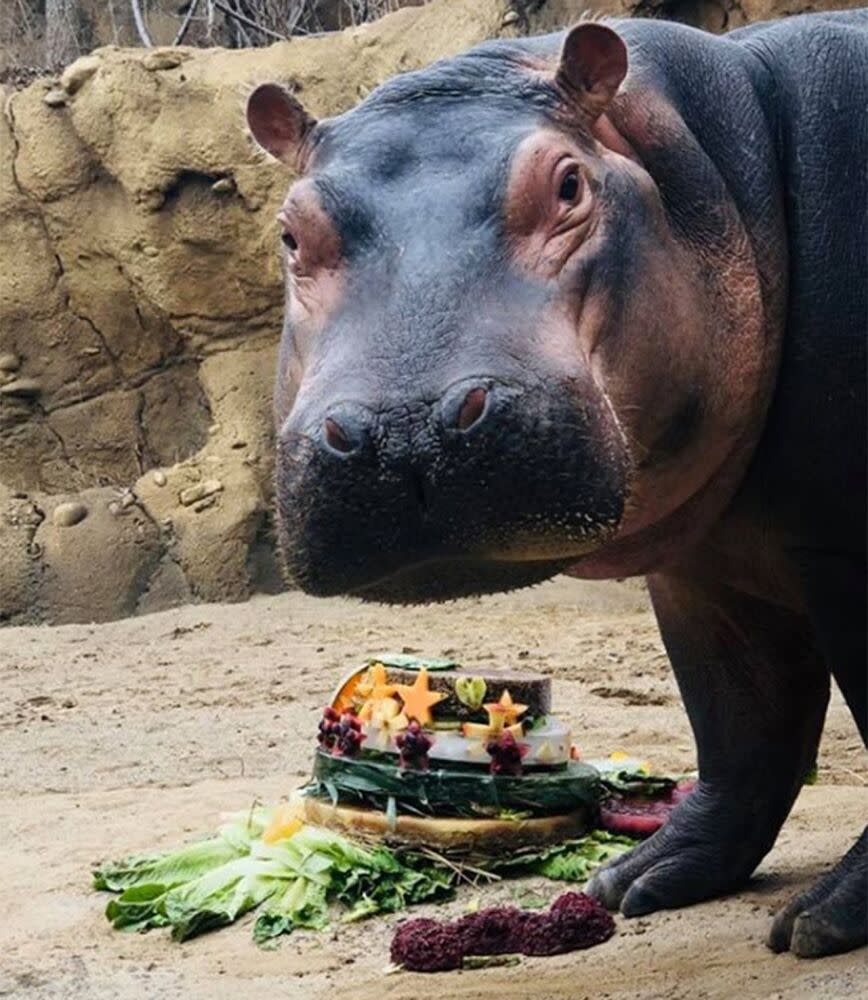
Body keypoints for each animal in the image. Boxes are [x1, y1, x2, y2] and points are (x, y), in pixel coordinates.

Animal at [248, 11, 864, 956]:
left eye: (570, 184)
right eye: (290, 232)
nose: (405, 429)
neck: (726, 162)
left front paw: (822, 921)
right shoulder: (703, 566)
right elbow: (739, 723)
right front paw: (635, 882)